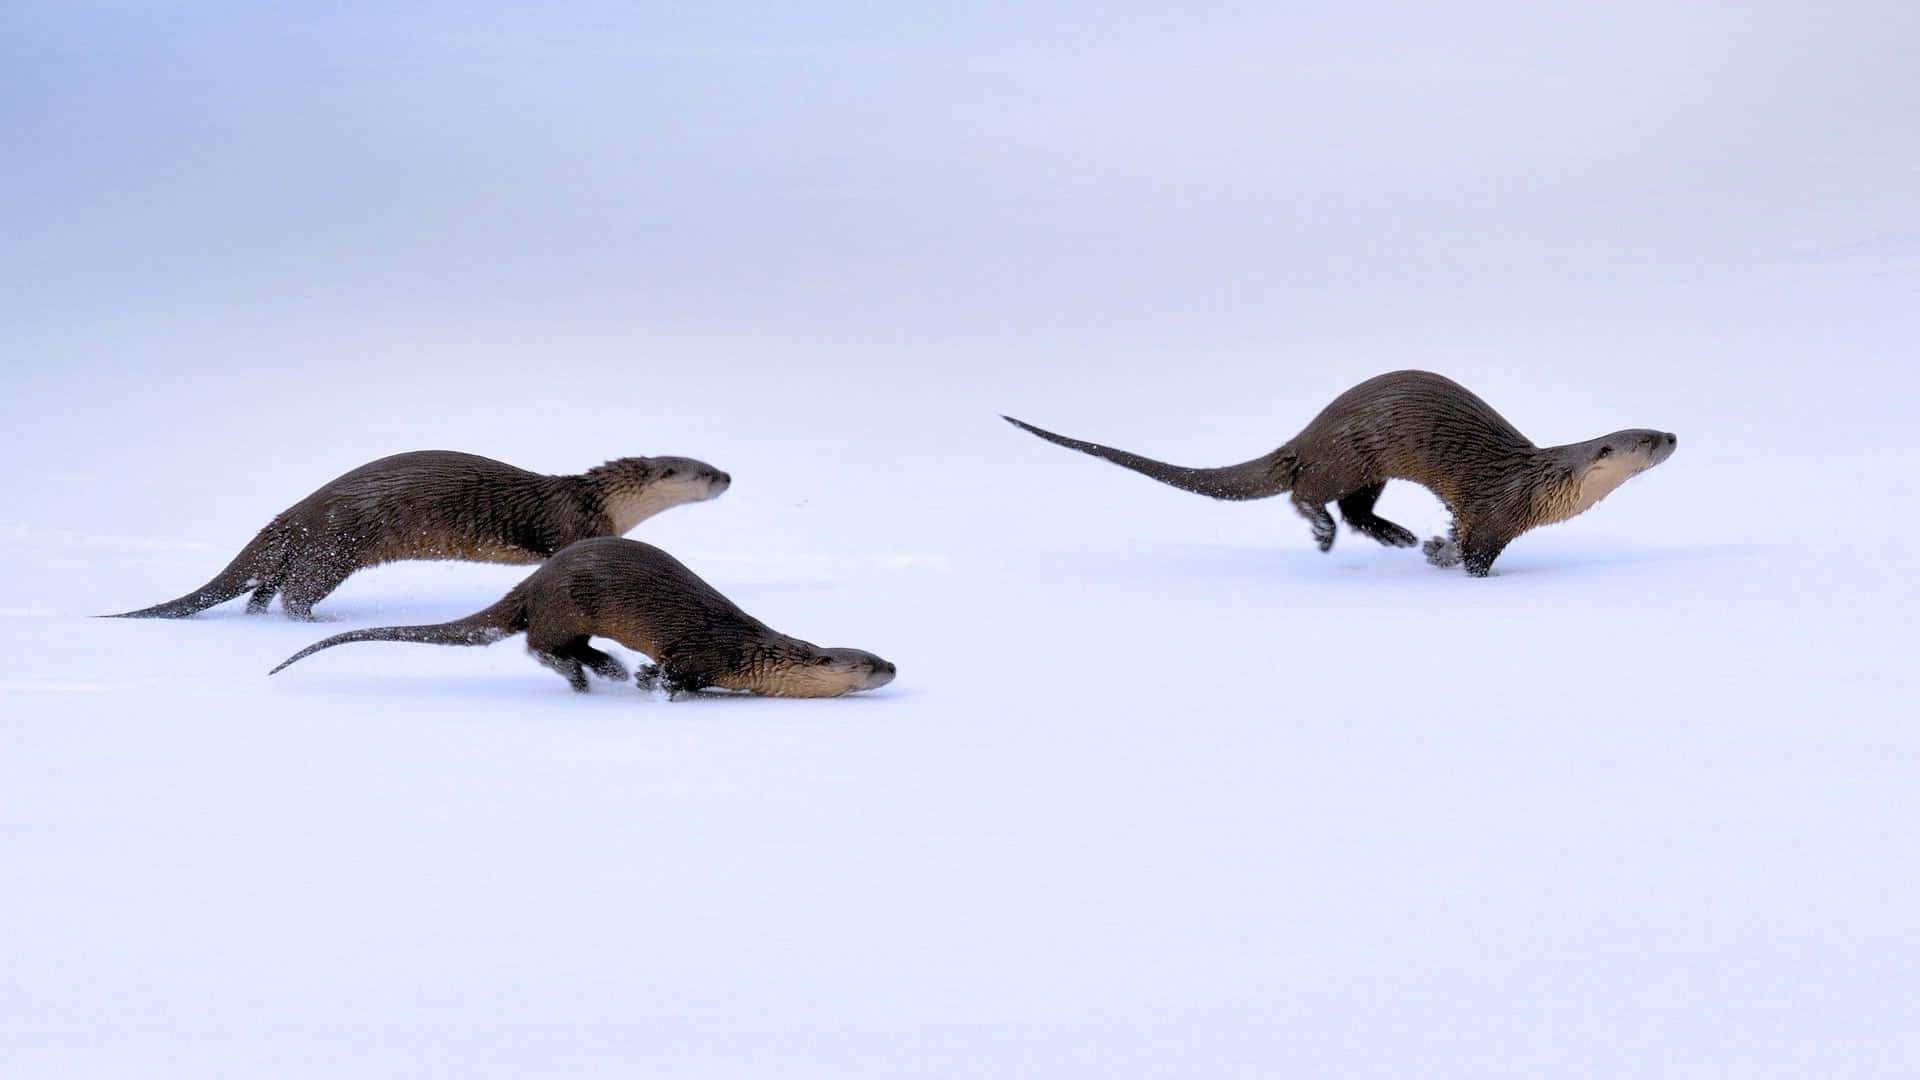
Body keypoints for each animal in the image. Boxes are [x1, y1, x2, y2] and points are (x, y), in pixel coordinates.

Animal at [108, 451, 731, 619]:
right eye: (703, 472)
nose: (728, 477)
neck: (599, 500)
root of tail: (295, 511)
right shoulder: (574, 526)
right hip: (333, 547)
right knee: (295, 593)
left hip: (307, 548)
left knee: (265, 590)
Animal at [269, 537, 896, 698]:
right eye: (867, 663)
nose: (895, 667)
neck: (750, 654)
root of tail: (533, 581)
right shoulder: (701, 655)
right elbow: (677, 675)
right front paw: (651, 683)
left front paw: (640, 678)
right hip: (563, 605)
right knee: (540, 647)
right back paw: (596, 677)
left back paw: (606, 670)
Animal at [1005, 370, 1676, 576]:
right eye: (1645, 441)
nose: (1674, 435)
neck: (1541, 486)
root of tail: (1309, 431)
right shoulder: (1493, 515)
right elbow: (1474, 554)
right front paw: (1447, 561)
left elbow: (1453, 535)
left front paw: (1430, 548)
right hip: (1344, 456)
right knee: (1307, 493)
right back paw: (1326, 534)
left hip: (1364, 469)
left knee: (1355, 509)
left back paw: (1398, 536)